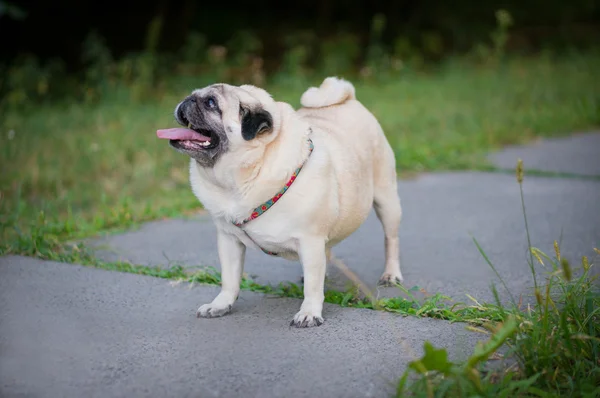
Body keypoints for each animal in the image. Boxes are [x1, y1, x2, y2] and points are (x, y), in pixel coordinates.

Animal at [157, 76, 406, 328]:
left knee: (391, 239)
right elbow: (229, 279)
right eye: (194, 95)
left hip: (386, 200)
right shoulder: (228, 240)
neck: (241, 180)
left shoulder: (310, 239)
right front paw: (220, 305)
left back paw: (391, 275)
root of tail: (348, 99)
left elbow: (313, 288)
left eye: (210, 103)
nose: (187, 100)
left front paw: (309, 312)